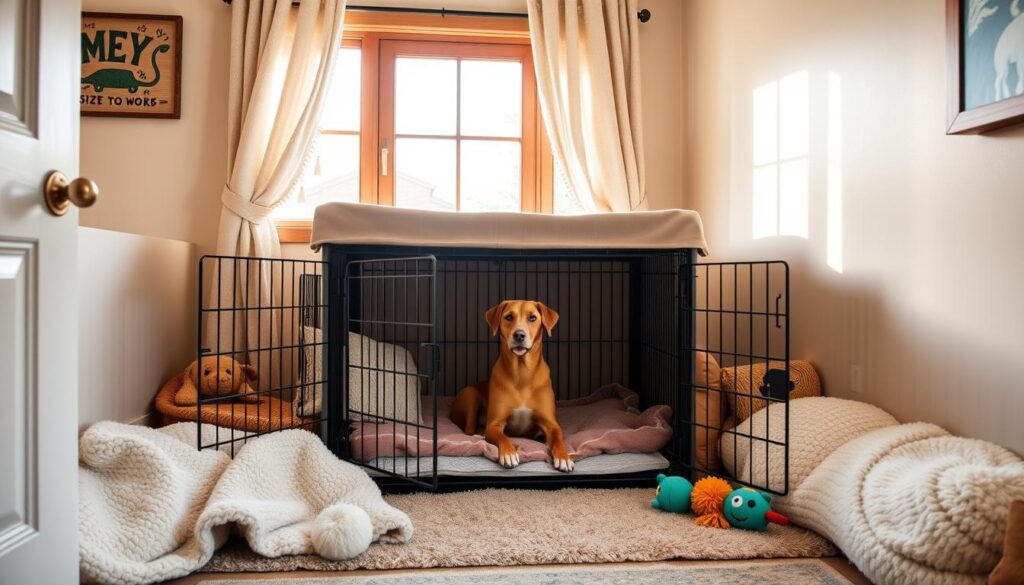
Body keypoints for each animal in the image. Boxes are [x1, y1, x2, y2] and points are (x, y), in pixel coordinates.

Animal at [452, 301, 573, 471]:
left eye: (532, 317)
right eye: (509, 317)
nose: (519, 335)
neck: (522, 373)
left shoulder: (551, 424)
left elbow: (558, 438)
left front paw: (564, 457)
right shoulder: (494, 424)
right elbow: (503, 437)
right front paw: (508, 454)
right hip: (470, 395)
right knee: (469, 431)